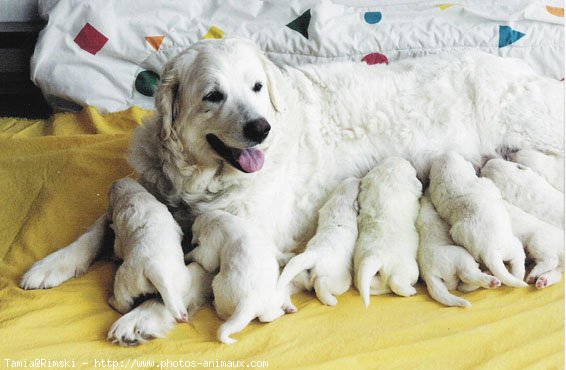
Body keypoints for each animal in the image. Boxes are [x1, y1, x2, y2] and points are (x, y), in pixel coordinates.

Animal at [107, 178, 192, 322]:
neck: (134, 193)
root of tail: (154, 269)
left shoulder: (118, 237)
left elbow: (117, 249)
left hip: (123, 281)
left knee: (123, 305)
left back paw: (111, 300)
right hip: (179, 285)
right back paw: (184, 316)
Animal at [190, 210, 300, 342]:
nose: (190, 241)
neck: (220, 217)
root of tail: (248, 301)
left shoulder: (210, 243)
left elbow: (204, 258)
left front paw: (188, 254)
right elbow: (279, 254)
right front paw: (288, 256)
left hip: (217, 286)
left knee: (223, 313)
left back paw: (215, 305)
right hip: (275, 296)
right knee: (267, 317)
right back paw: (285, 310)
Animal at [358, 158, 424, 304]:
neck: (387, 179)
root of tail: (375, 257)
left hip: (371, 279)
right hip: (408, 268)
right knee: (397, 281)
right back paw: (411, 290)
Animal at [432, 152, 532, 288]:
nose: (447, 153)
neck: (450, 182)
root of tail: (488, 251)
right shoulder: (485, 184)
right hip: (511, 245)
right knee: (517, 257)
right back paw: (519, 275)